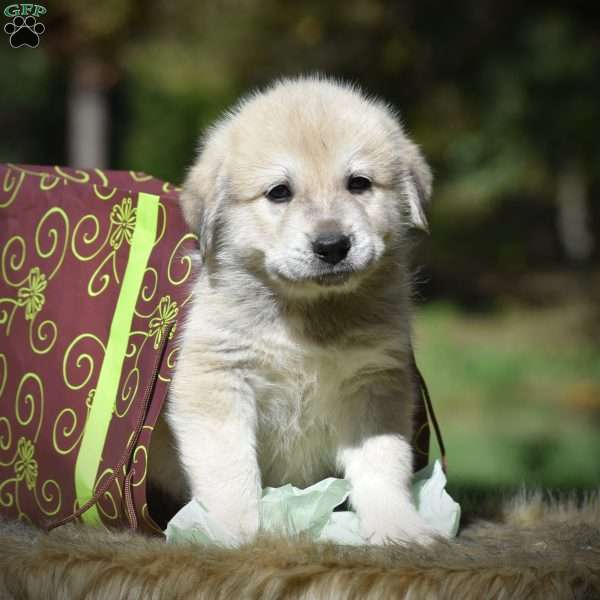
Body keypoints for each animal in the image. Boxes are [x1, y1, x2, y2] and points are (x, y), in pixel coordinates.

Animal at [150, 75, 436, 544]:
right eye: (279, 192)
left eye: (359, 183)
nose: (332, 245)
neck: (308, 312)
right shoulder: (219, 379)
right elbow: (230, 470)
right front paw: (229, 530)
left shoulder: (375, 384)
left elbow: (382, 464)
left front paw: (396, 524)